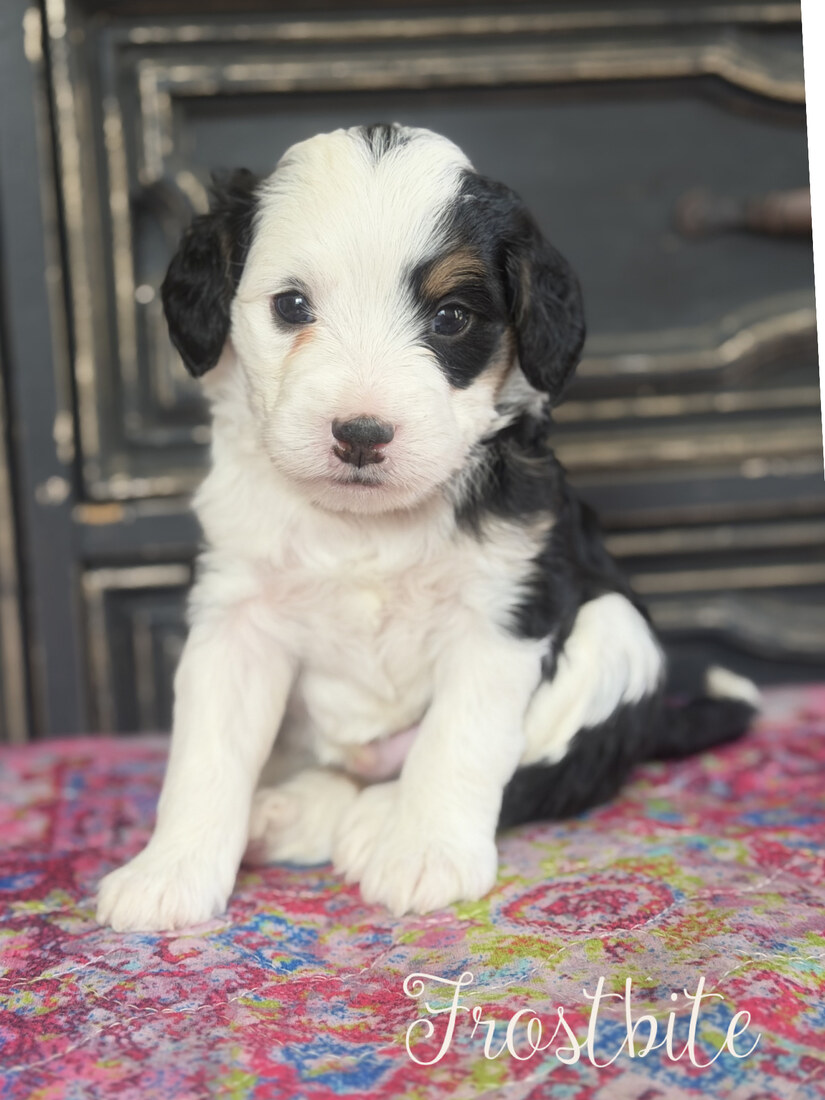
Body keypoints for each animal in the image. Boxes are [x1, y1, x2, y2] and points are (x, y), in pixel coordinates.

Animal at [96, 123, 759, 932]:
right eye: (292, 305)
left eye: (450, 318)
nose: (360, 434)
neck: (366, 524)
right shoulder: (237, 616)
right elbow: (206, 752)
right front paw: (170, 871)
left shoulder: (503, 610)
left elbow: (459, 740)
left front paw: (425, 855)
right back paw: (288, 813)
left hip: (615, 632)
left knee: (538, 773)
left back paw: (379, 818)